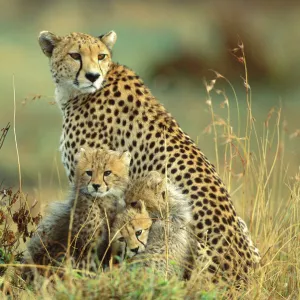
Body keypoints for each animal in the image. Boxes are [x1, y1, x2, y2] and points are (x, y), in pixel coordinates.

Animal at [24, 146, 130, 274]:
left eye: (107, 173)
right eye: (89, 172)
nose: (96, 185)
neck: (101, 201)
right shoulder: (83, 247)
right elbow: (85, 267)